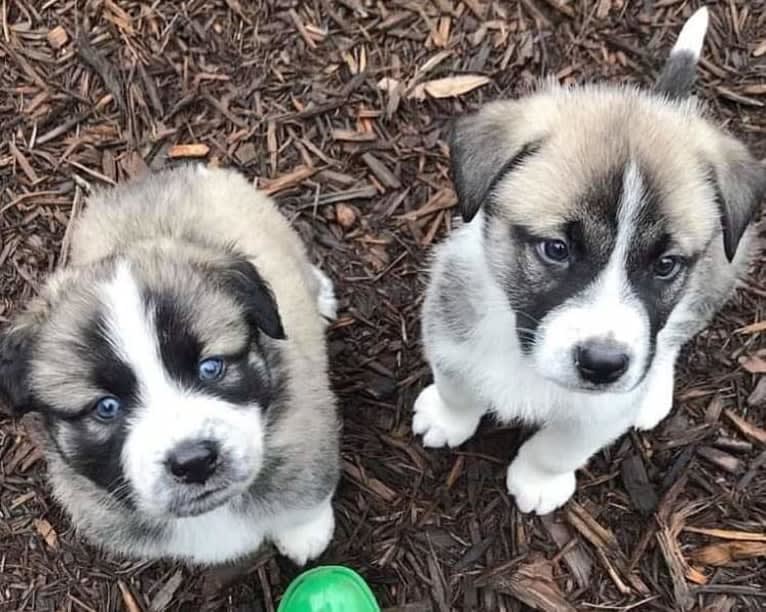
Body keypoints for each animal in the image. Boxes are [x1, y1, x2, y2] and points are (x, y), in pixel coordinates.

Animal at [0, 164, 342, 564]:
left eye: (211, 367)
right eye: (106, 407)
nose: (194, 461)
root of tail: (157, 175)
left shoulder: (309, 437)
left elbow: (307, 497)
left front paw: (306, 534)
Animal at [414, 8, 766, 516]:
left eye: (665, 264)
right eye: (557, 249)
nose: (603, 365)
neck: (522, 353)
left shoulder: (600, 412)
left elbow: (560, 446)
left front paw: (538, 481)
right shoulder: (449, 334)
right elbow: (456, 386)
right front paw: (446, 418)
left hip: (717, 274)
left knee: (677, 333)